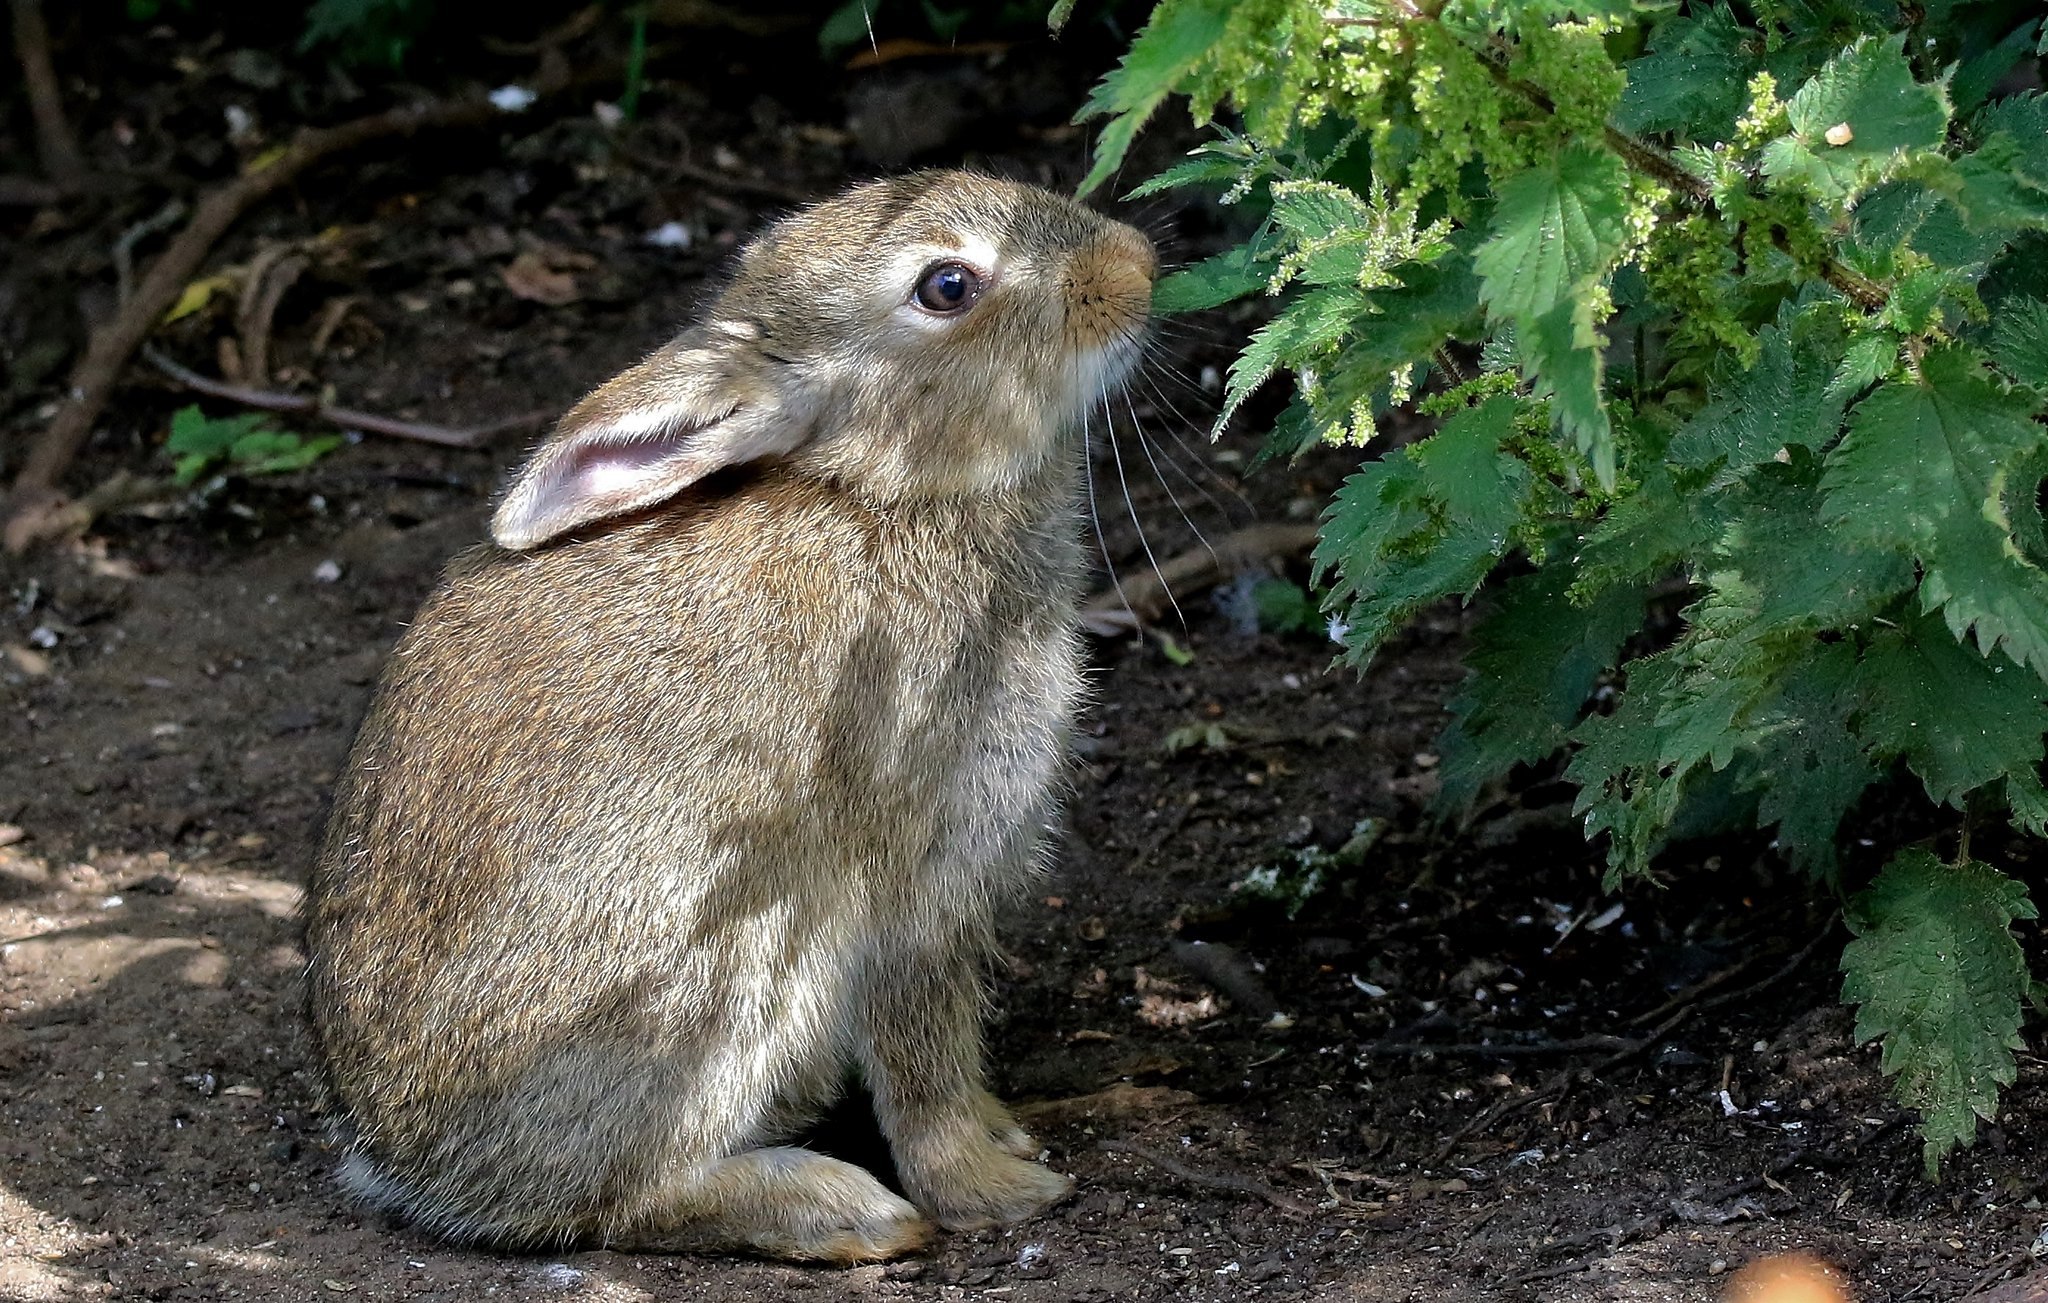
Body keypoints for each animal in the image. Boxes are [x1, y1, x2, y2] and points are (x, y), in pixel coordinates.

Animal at [301, 173, 1155, 1262]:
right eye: (947, 285)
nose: (1135, 266)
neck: (882, 492)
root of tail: (413, 1168)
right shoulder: (920, 876)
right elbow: (922, 1055)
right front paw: (997, 1188)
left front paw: (1005, 1135)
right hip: (723, 967)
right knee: (627, 1199)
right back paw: (844, 1210)